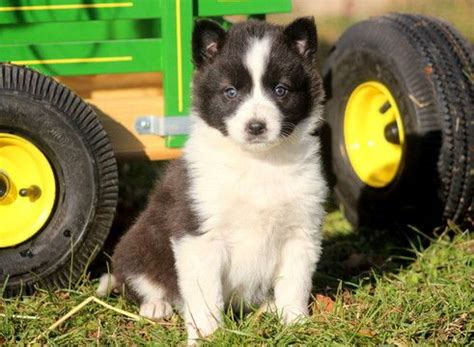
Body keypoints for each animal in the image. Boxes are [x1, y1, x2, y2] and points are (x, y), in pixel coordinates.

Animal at [98, 17, 328, 346]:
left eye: (281, 90)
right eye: (230, 92)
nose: (256, 126)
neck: (257, 162)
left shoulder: (301, 231)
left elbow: (294, 284)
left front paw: (295, 324)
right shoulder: (199, 236)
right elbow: (205, 296)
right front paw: (207, 335)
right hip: (139, 245)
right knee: (137, 281)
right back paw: (155, 306)